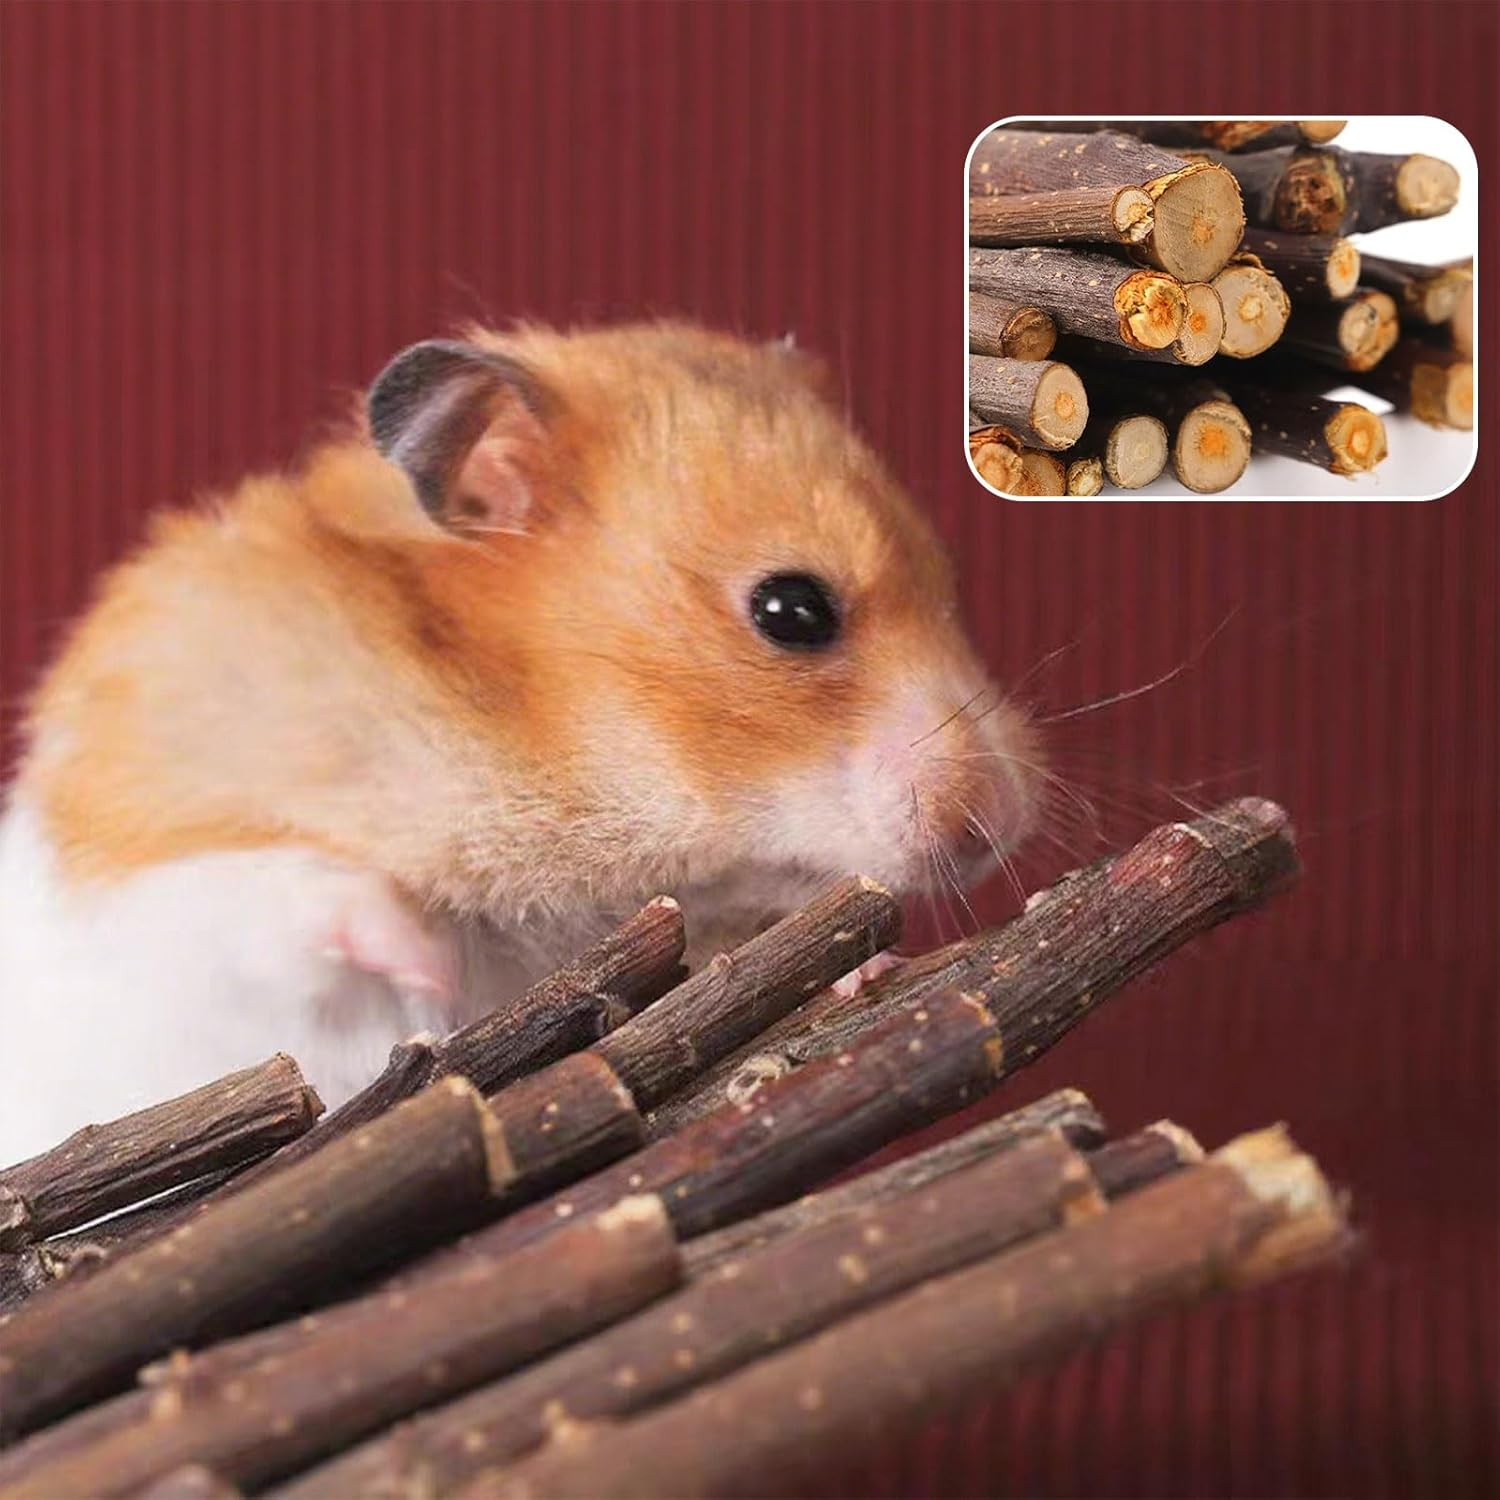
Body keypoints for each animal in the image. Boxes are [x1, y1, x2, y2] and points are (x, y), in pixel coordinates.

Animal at [0, 322, 1042, 1160]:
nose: (1003, 823)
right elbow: (298, 893)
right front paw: (426, 966)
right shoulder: (164, 872)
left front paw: (865, 968)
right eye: (792, 610)